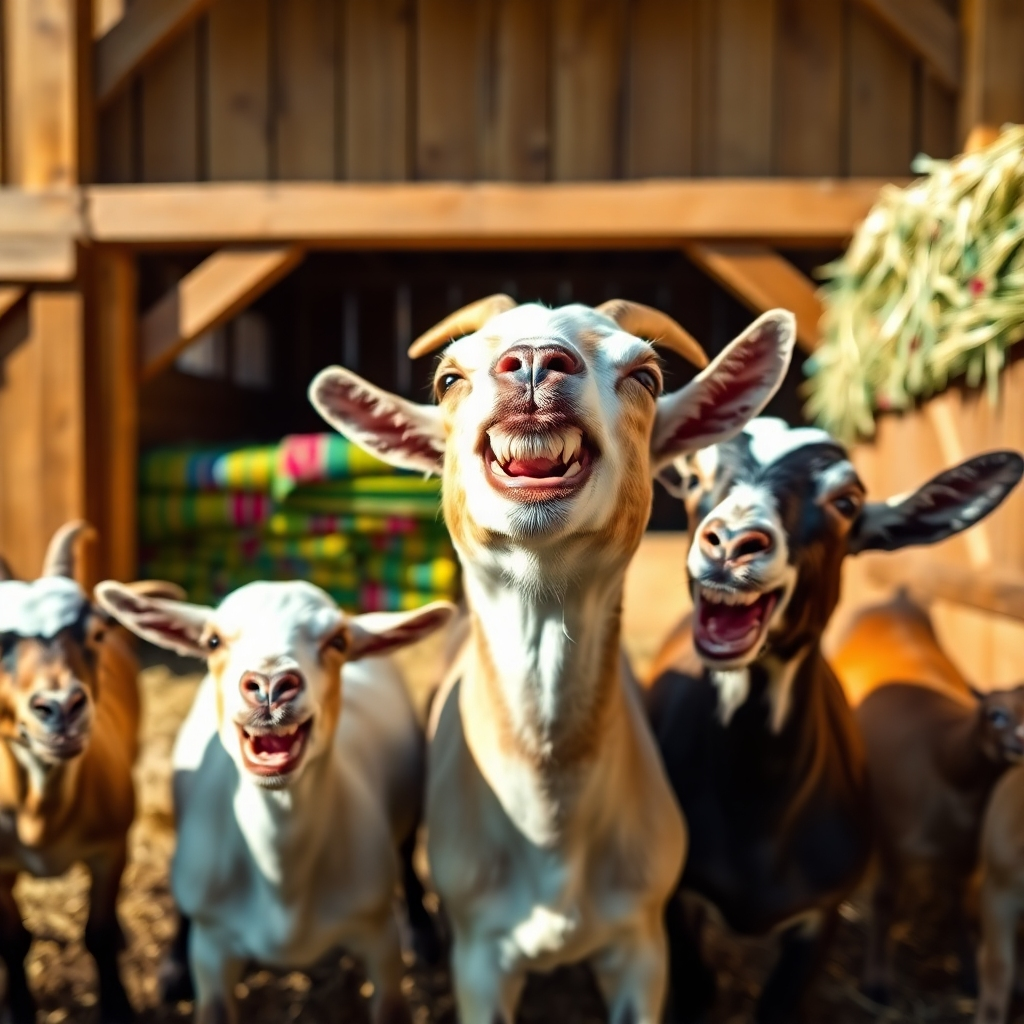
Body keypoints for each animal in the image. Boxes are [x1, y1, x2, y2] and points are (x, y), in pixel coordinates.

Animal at [0, 522, 155, 1024]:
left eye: (96, 633)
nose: (61, 707)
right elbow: (14, 941)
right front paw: (18, 1009)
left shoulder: (111, 849)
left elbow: (99, 933)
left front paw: (118, 1007)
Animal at [96, 578, 453, 1024]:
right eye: (213, 641)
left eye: (337, 641)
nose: (269, 685)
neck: (282, 877)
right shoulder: (212, 950)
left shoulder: (378, 937)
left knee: (406, 852)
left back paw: (423, 934)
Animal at [309, 295, 795, 1024]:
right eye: (448, 379)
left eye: (646, 375)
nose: (536, 360)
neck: (550, 825)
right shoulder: (480, 959)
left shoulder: (641, 947)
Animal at [647, 417, 1023, 1023]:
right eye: (696, 476)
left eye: (846, 502)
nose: (731, 543)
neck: (755, 817)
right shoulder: (680, 898)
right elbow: (699, 987)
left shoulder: (820, 914)